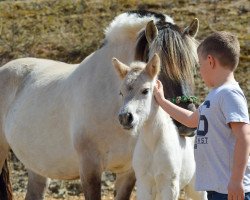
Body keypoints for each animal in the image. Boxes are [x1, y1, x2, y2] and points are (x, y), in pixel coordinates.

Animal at [112, 54, 206, 199]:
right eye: (121, 93)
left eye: (145, 90)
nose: (125, 118)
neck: (153, 145)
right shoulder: (144, 185)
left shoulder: (169, 186)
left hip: (197, 188)